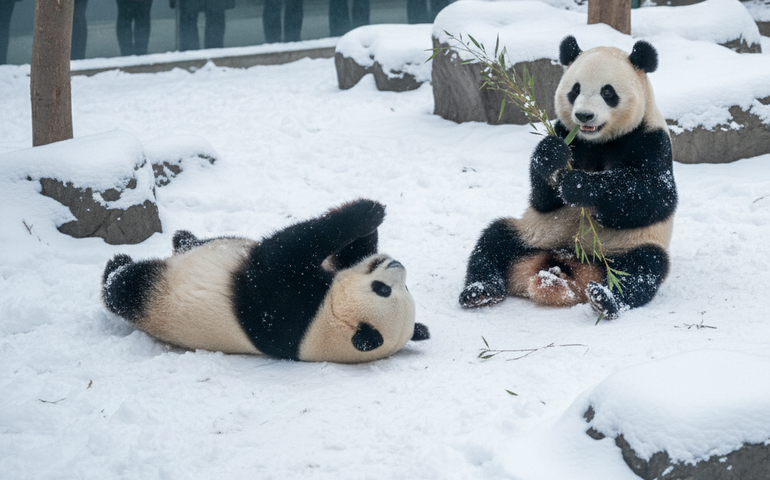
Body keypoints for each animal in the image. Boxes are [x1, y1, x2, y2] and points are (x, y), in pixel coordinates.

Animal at [102, 199, 430, 363]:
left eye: (383, 290)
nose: (397, 265)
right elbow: (351, 253)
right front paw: (372, 214)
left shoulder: (290, 311)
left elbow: (281, 250)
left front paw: (364, 211)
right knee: (193, 242)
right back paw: (182, 236)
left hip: (159, 299)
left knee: (127, 289)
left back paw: (116, 267)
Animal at [459, 35, 677, 319]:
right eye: (575, 90)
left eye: (608, 92)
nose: (584, 115)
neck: (597, 140)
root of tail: (564, 267)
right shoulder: (566, 133)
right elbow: (542, 199)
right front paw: (552, 156)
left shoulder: (650, 139)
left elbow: (654, 196)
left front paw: (579, 185)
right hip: (532, 235)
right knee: (493, 242)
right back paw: (479, 292)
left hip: (621, 248)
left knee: (642, 268)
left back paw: (605, 298)